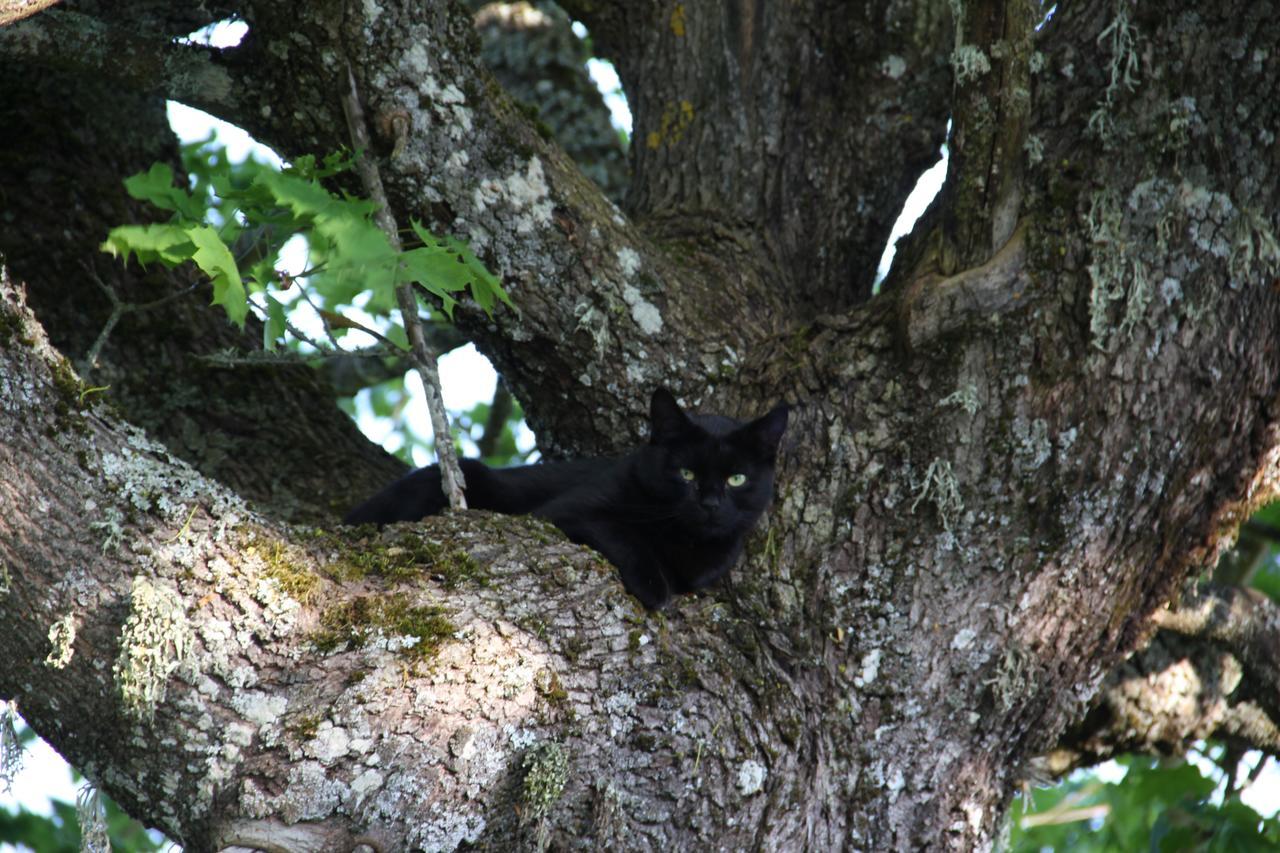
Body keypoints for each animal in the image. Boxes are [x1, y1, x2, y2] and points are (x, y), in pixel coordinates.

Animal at [350, 389, 788, 607]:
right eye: (686, 474)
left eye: (736, 478)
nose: (709, 504)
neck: (683, 540)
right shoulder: (566, 513)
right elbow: (623, 534)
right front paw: (654, 587)